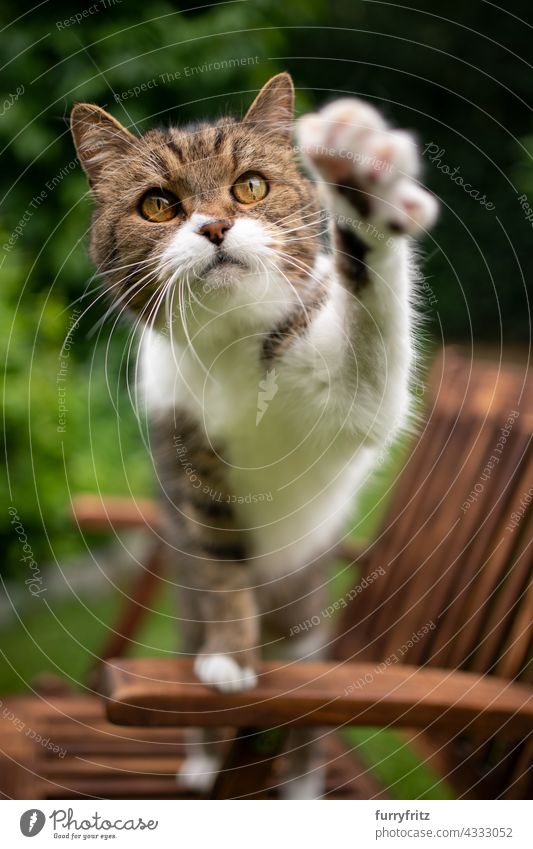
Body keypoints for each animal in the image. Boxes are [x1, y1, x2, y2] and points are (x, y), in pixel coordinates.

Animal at [70, 73, 436, 796]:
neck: (231, 343)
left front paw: (360, 183)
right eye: (157, 204)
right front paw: (228, 662)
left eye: (251, 187)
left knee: (305, 726)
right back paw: (203, 758)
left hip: (308, 630)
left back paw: (297, 780)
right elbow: (220, 561)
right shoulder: (187, 453)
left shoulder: (345, 392)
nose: (214, 226)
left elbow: (369, 348)